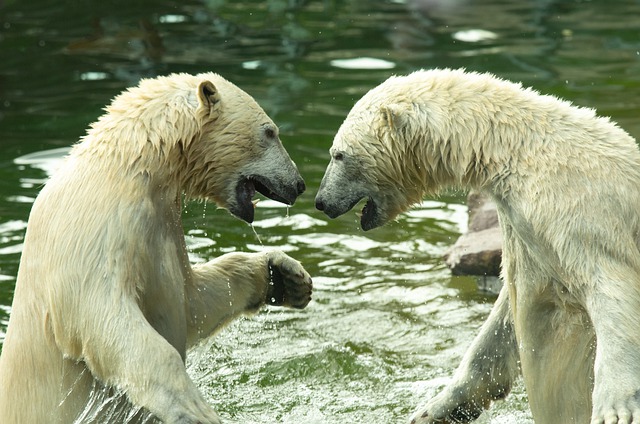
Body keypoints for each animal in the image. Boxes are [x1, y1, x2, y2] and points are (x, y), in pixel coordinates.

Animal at [0, 73, 312, 424]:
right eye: (270, 132)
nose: (299, 184)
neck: (130, 166)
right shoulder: (95, 225)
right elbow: (107, 318)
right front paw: (196, 411)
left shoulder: (164, 225)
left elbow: (195, 301)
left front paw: (286, 276)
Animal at [316, 67, 640, 424]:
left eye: (338, 154)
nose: (320, 201)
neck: (520, 152)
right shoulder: (529, 236)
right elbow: (503, 325)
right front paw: (433, 409)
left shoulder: (583, 213)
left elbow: (612, 291)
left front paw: (615, 408)